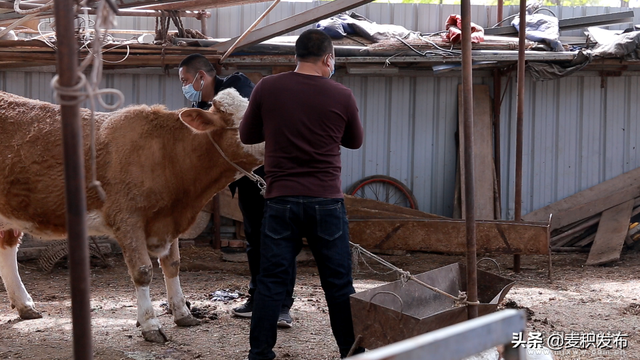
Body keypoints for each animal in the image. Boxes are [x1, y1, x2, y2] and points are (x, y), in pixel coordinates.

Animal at [0, 88, 262, 342]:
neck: (166, 154)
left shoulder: (168, 220)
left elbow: (172, 265)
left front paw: (182, 312)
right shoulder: (127, 219)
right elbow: (143, 271)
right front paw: (150, 324)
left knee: (8, 247)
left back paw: (25, 305)